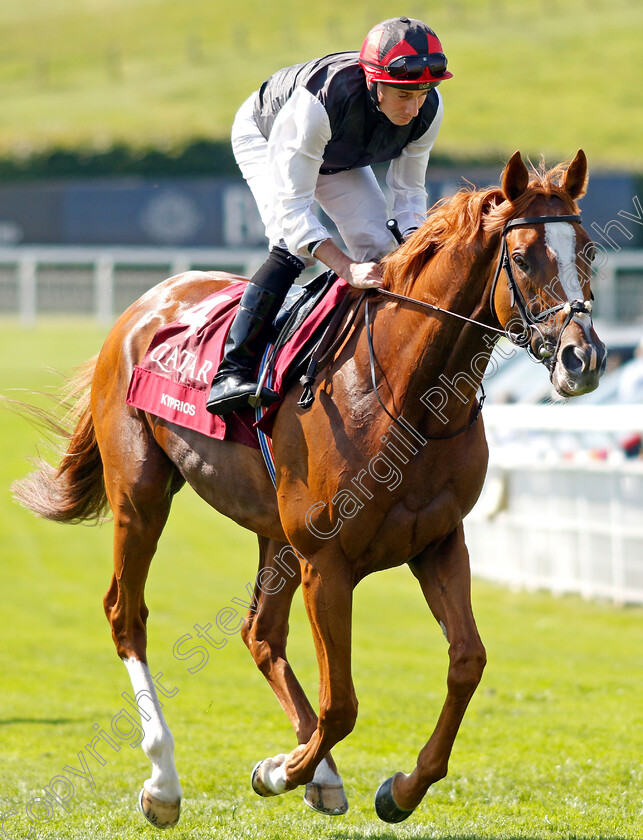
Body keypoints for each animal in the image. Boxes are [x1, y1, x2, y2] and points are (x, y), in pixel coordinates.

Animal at [16, 151, 608, 828]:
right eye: (527, 257)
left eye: (588, 250)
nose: (583, 359)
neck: (406, 395)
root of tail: (148, 301)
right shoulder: (327, 561)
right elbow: (342, 703)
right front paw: (278, 769)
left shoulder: (439, 543)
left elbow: (467, 662)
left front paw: (401, 788)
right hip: (140, 496)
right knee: (126, 613)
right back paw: (165, 782)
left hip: (276, 533)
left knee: (259, 633)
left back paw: (317, 775)